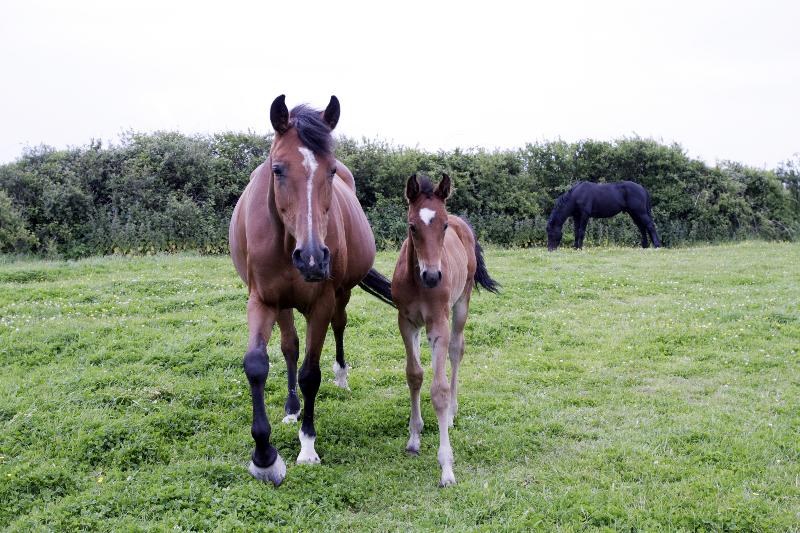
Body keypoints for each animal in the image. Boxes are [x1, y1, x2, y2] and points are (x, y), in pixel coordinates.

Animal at [228, 93, 394, 484]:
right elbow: (257, 364)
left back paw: (341, 376)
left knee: (339, 326)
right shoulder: (261, 300)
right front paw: (265, 456)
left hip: (341, 295)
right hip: (283, 305)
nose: (313, 259)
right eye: (277, 169)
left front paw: (307, 446)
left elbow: (310, 374)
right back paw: (291, 409)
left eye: (330, 171)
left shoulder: (321, 304)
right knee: (289, 347)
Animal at [394, 172, 500, 484]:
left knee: (456, 350)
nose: (432, 276)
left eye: (442, 226)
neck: (418, 283)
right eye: (412, 226)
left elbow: (438, 390)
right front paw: (414, 438)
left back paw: (452, 413)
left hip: (462, 302)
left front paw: (447, 467)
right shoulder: (406, 323)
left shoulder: (438, 324)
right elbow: (414, 375)